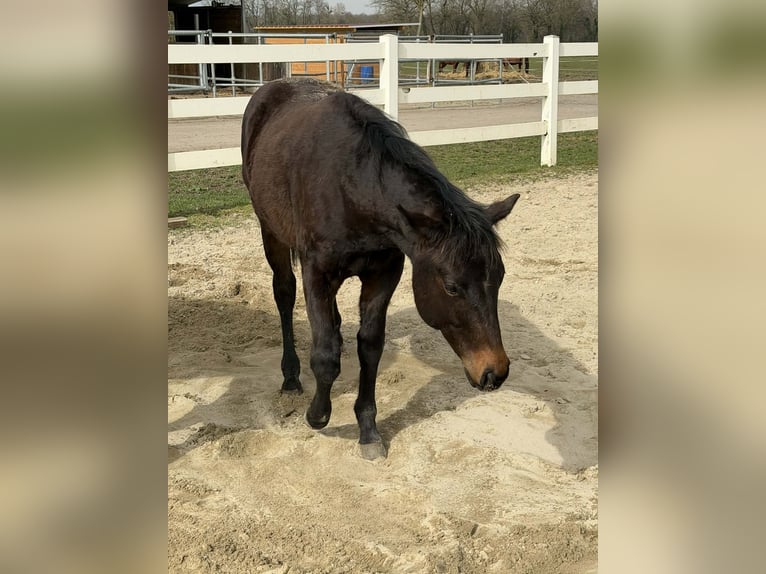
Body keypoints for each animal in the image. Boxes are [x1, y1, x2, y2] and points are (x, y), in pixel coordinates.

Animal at [241, 78, 520, 460]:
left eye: (500, 277)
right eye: (451, 286)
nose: (495, 372)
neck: (353, 187)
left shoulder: (383, 274)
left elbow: (370, 346)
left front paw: (368, 429)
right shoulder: (317, 273)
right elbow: (324, 354)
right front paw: (318, 415)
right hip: (270, 231)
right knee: (284, 293)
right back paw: (292, 376)